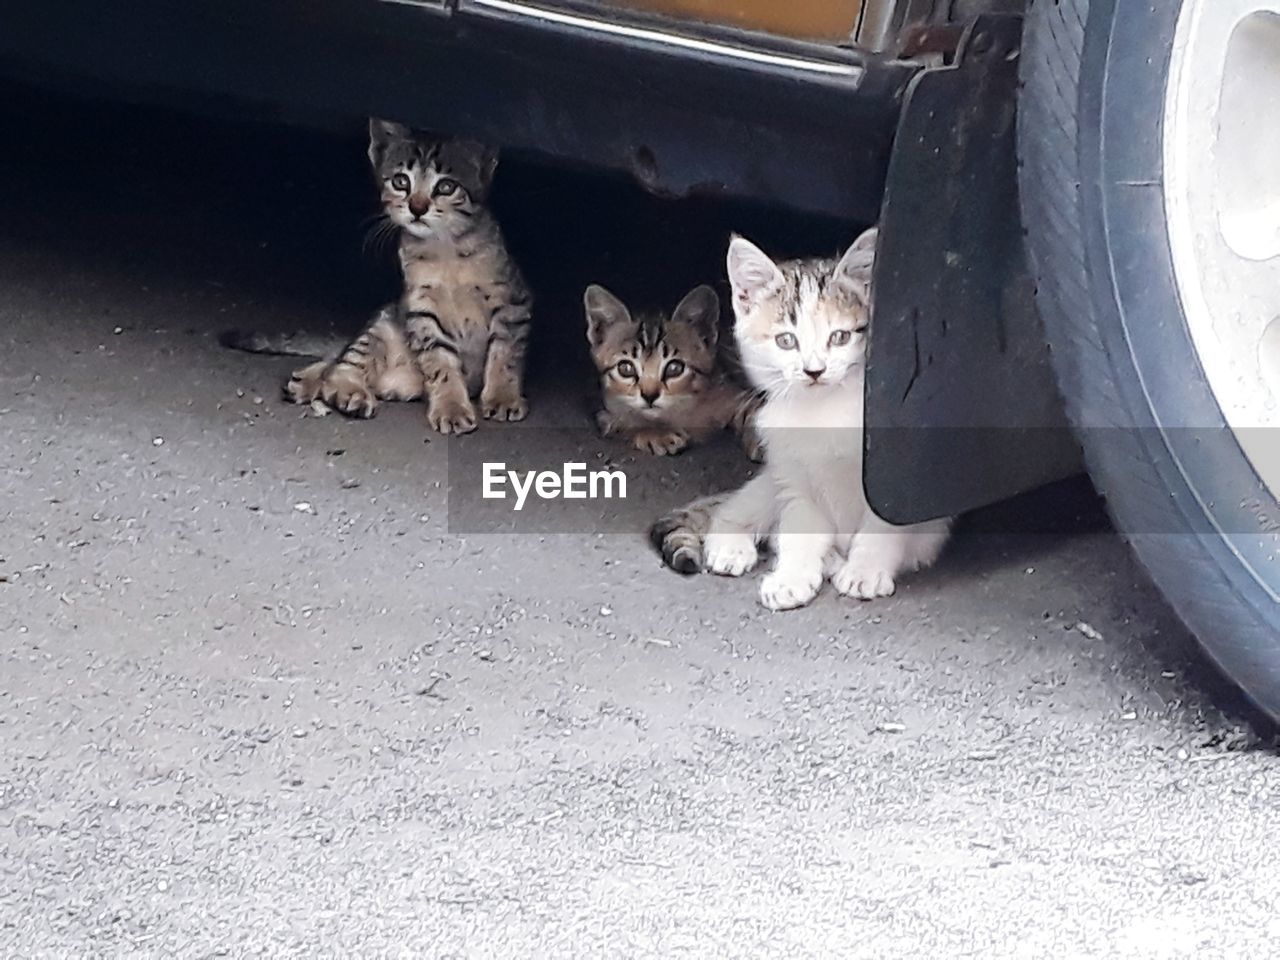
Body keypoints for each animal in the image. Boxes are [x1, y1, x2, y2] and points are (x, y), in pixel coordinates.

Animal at [586, 281, 757, 458]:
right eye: (625, 368)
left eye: (674, 368)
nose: (649, 396)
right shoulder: (602, 408)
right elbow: (622, 420)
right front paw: (657, 434)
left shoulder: (730, 391)